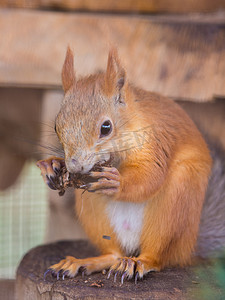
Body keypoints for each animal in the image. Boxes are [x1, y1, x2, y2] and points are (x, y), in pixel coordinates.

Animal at [36, 47, 213, 284]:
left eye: (106, 127)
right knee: (112, 254)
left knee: (158, 256)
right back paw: (84, 262)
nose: (75, 167)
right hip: (95, 211)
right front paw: (51, 165)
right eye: (56, 126)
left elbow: (151, 175)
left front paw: (116, 182)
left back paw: (140, 262)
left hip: (177, 203)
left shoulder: (155, 141)